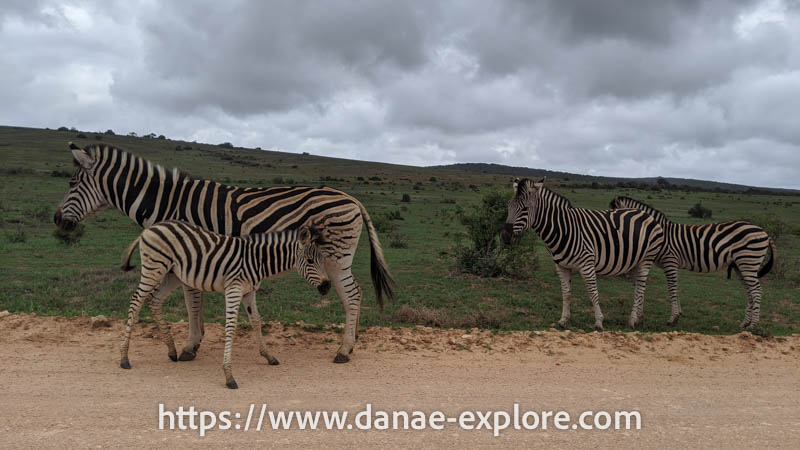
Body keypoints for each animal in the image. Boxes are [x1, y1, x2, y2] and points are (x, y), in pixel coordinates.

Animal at [54, 142, 396, 364]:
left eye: (71, 183)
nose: (57, 220)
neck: (166, 202)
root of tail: (352, 198)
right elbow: (192, 299)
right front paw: (195, 340)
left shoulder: (189, 250)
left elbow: (192, 300)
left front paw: (190, 345)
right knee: (354, 294)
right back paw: (350, 345)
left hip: (334, 257)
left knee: (351, 295)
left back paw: (344, 350)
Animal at [116, 220, 328, 388]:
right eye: (310, 260)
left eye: (322, 259)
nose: (327, 287)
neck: (258, 261)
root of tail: (151, 228)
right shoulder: (234, 288)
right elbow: (231, 327)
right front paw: (229, 375)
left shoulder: (249, 291)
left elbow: (256, 321)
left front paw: (268, 356)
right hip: (154, 269)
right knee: (136, 301)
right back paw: (124, 358)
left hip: (172, 274)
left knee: (154, 300)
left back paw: (172, 350)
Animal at [500, 178, 668, 328]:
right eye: (508, 205)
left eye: (525, 208)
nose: (505, 237)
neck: (563, 229)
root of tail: (646, 214)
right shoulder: (561, 266)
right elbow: (566, 293)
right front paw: (563, 320)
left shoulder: (586, 264)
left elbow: (593, 292)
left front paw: (599, 322)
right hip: (634, 261)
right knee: (639, 287)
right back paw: (638, 318)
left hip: (646, 259)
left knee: (640, 288)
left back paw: (632, 321)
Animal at [608, 194, 772, 326]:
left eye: (614, 218)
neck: (659, 233)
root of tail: (764, 232)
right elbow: (671, 288)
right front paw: (677, 314)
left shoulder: (670, 261)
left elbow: (672, 288)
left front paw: (673, 318)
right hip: (741, 265)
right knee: (750, 291)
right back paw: (745, 323)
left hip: (748, 262)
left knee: (756, 291)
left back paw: (753, 325)